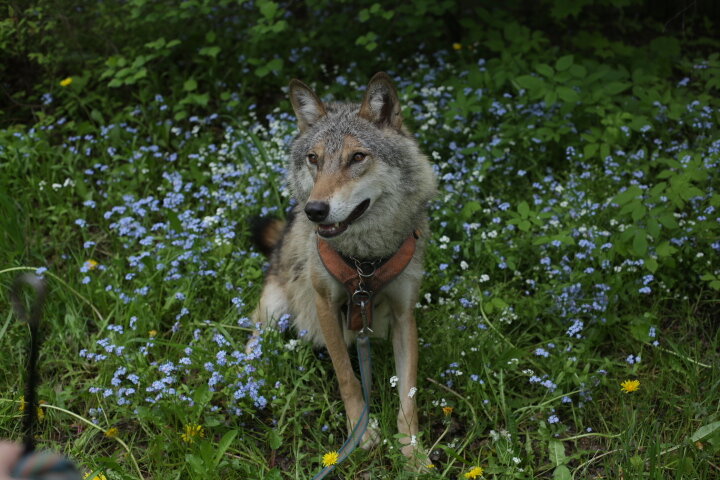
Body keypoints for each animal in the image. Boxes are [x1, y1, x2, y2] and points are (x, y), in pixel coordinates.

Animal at [248, 72, 438, 462]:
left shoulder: (404, 314)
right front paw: (361, 434)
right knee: (251, 341)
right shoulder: (326, 304)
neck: (366, 260)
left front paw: (412, 453)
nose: (314, 211)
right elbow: (348, 378)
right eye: (314, 159)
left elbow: (407, 396)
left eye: (357, 157)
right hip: (275, 311)